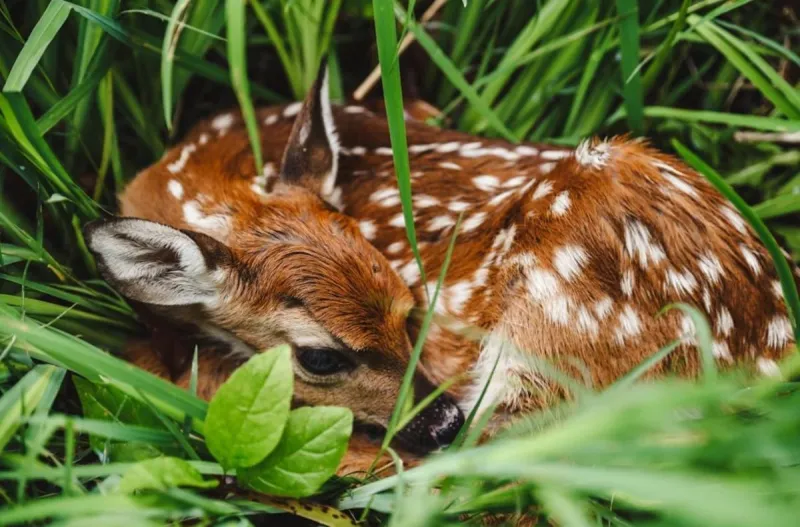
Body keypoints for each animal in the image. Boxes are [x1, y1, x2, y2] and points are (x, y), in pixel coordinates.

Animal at [85, 64, 797, 475]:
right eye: (320, 357)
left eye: (410, 308)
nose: (439, 420)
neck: (206, 175)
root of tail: (764, 363)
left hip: (553, 326)